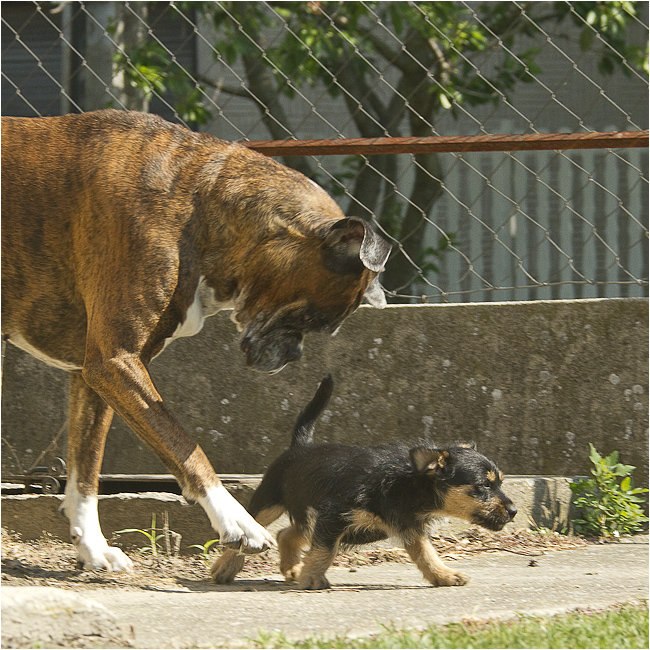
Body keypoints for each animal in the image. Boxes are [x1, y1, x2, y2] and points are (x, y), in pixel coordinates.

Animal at [1, 109, 390, 568]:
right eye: (310, 318)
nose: (293, 355)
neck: (199, 203)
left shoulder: (90, 373)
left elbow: (86, 470)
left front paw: (93, 548)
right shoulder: (115, 361)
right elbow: (185, 446)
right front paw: (237, 521)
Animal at [213, 370, 516, 588]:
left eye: (499, 482)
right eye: (484, 485)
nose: (513, 511)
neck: (402, 483)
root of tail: (301, 445)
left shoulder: (409, 526)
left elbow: (426, 553)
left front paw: (443, 576)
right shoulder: (334, 515)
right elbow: (325, 550)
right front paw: (312, 579)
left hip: (307, 512)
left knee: (287, 533)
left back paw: (291, 568)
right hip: (270, 502)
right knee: (251, 528)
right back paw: (224, 567)